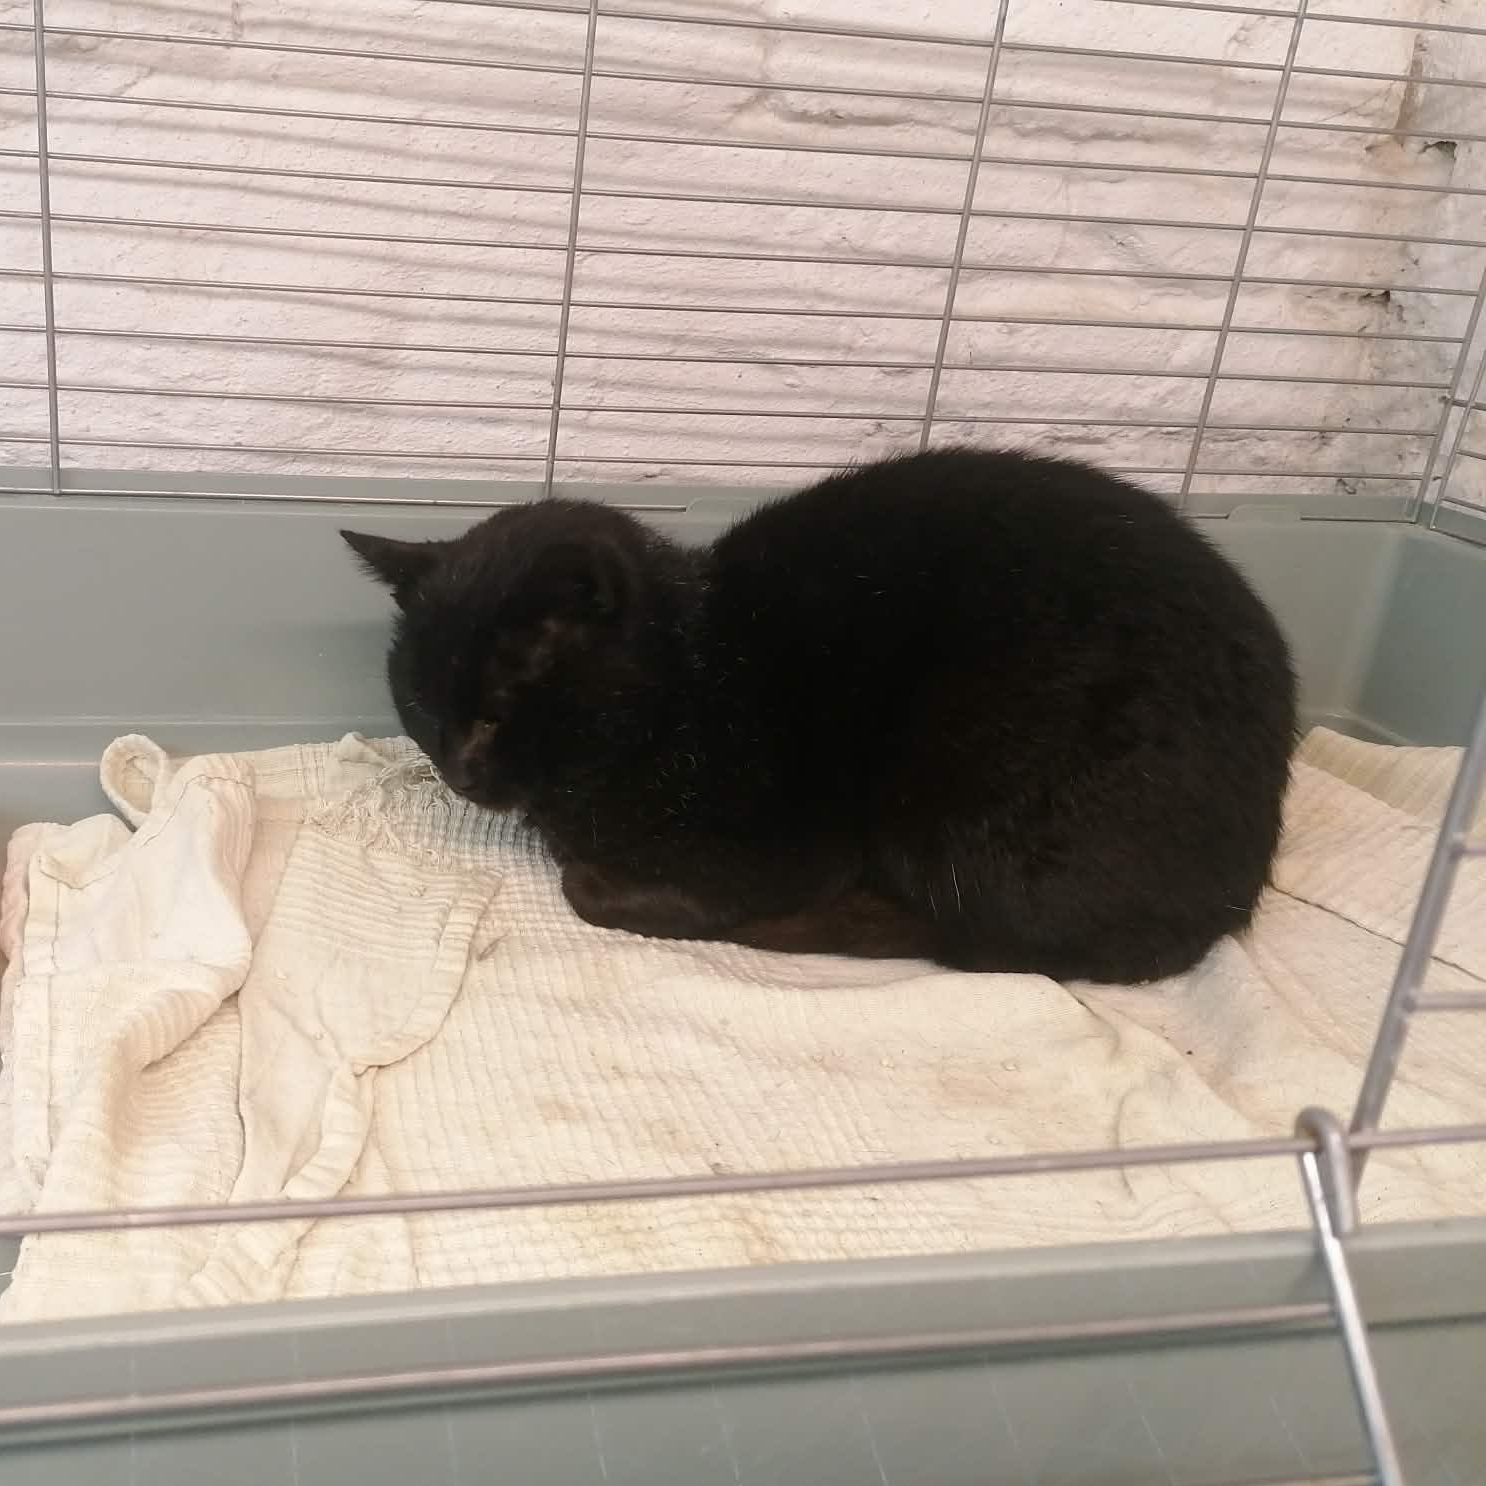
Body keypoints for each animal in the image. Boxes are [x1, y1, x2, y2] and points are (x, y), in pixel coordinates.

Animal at [344, 446, 1296, 984]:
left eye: (499, 710)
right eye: (422, 704)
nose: (460, 773)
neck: (684, 684)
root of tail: (1237, 889)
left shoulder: (782, 844)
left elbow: (586, 887)